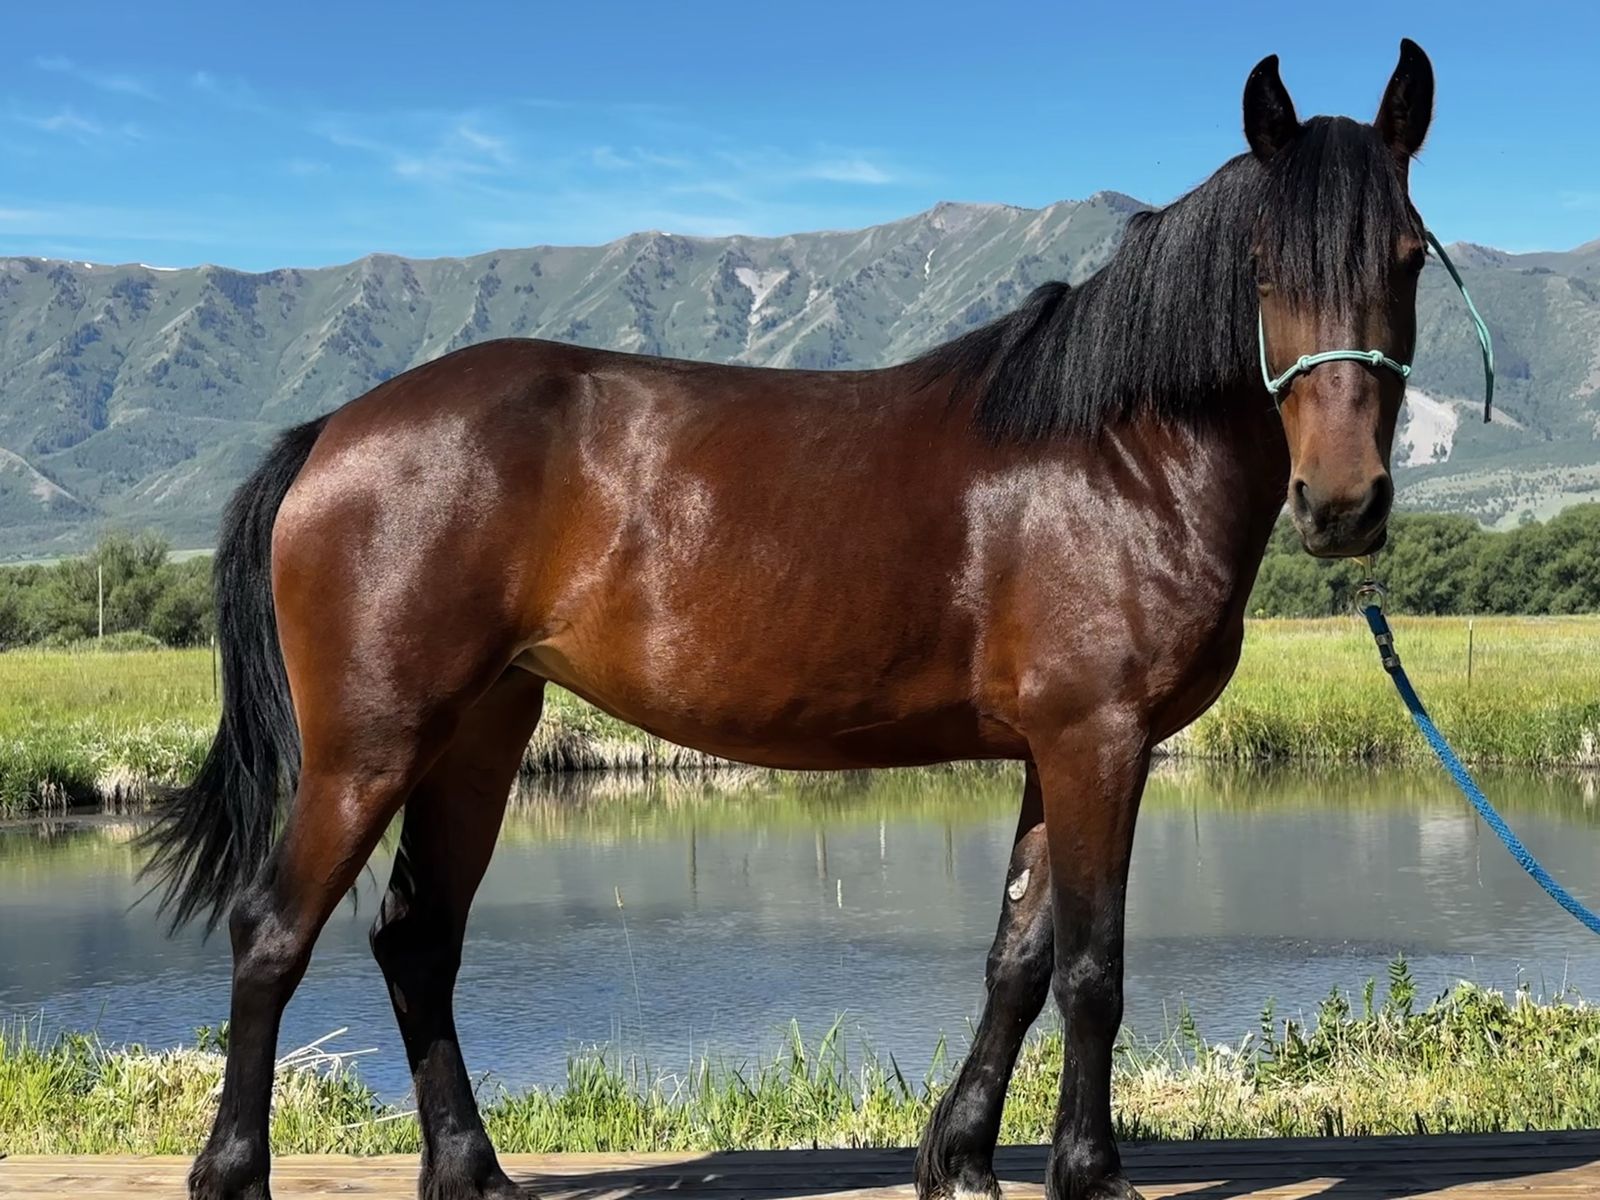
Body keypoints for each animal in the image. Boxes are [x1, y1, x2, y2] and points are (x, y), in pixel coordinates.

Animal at [143, 39, 1438, 1200]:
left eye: (1408, 256)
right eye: (1262, 263)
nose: (1342, 503)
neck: (1113, 453)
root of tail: (333, 430)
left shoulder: (1053, 751)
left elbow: (1016, 960)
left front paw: (960, 1156)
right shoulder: (1099, 741)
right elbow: (1090, 970)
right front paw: (1089, 1172)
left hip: (479, 733)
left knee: (416, 937)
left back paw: (472, 1172)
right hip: (369, 745)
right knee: (274, 932)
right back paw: (234, 1172)